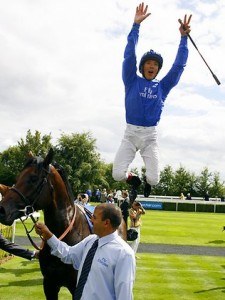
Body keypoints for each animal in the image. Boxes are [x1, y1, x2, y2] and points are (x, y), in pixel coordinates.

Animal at [0, 149, 126, 298]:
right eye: (17, 178)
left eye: (33, 179)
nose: (2, 210)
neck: (67, 231)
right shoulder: (49, 284)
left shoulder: (76, 286)